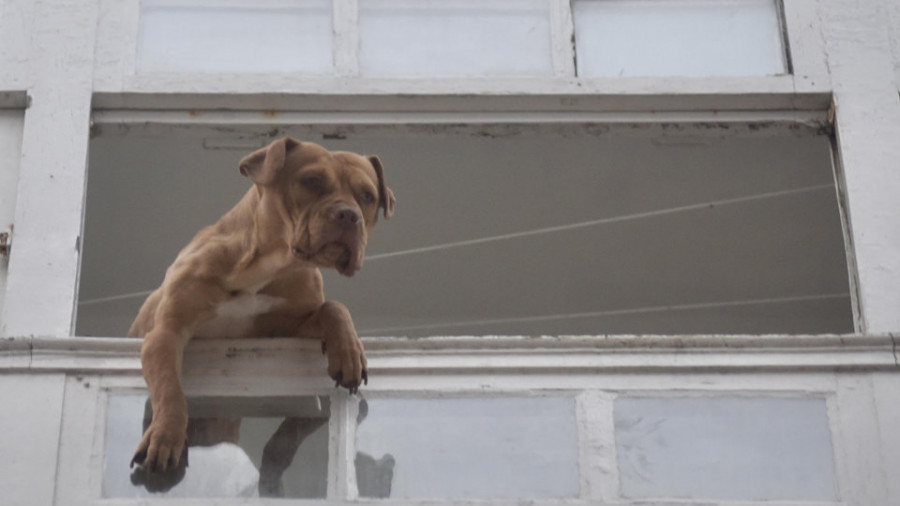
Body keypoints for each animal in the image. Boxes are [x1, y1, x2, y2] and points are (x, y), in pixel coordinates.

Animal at [128, 135, 396, 474]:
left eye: (367, 196)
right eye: (311, 181)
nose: (349, 214)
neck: (264, 266)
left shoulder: (289, 330)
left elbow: (333, 308)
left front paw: (349, 352)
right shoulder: (166, 333)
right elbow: (170, 388)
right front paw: (165, 436)